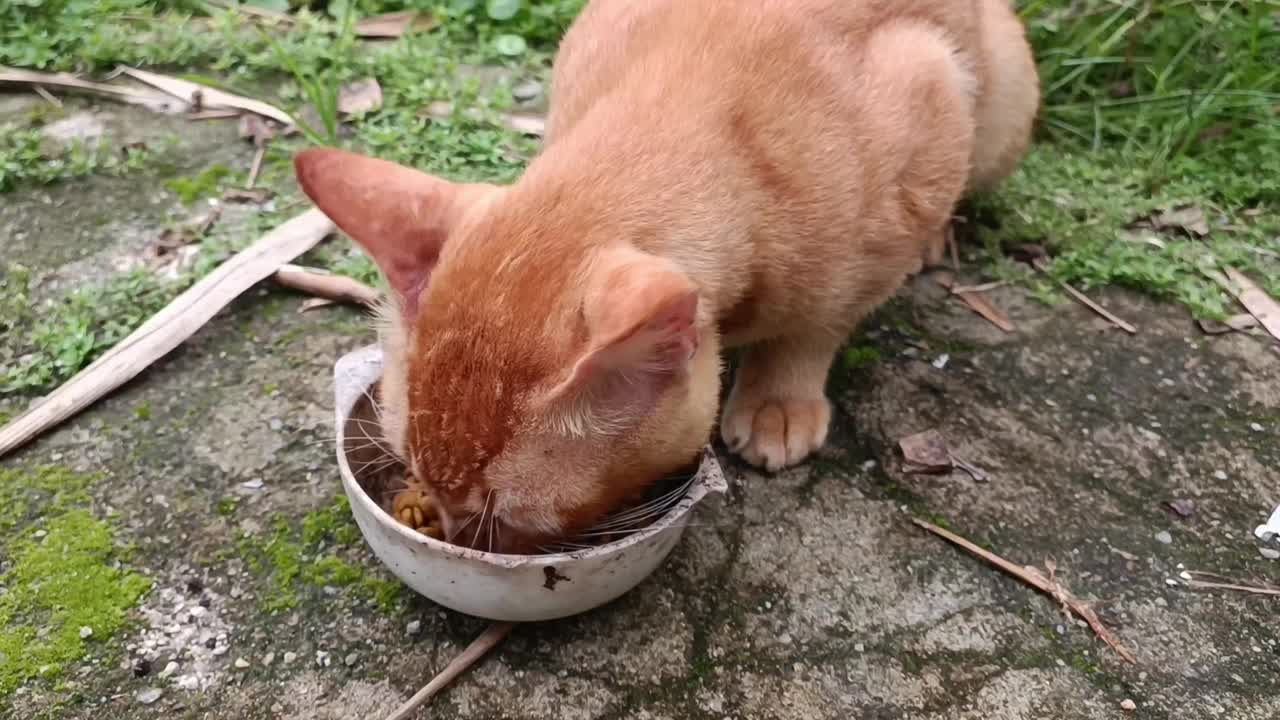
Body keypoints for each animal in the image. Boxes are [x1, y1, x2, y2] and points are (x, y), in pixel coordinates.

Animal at [296, 0, 1039, 548]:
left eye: (505, 516)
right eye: (416, 472)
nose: (452, 535)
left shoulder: (930, 100)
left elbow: (820, 317)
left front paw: (781, 394)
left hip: (998, 105)